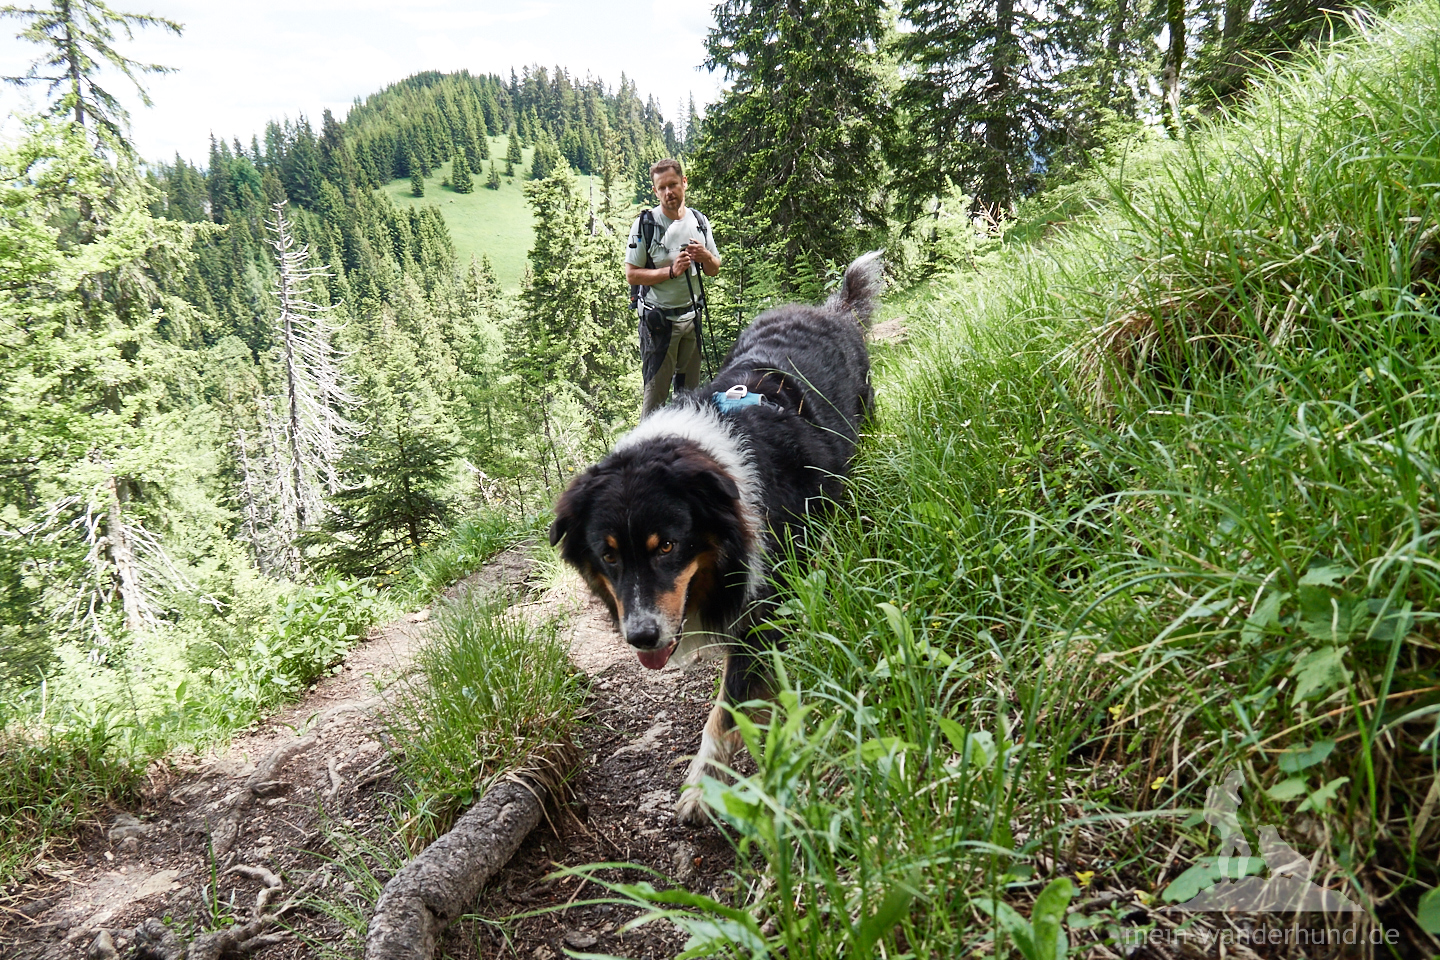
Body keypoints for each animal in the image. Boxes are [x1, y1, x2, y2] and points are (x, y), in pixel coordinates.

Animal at [550, 251, 881, 823]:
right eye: (608, 557)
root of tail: (828, 308)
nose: (641, 637)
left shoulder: (764, 600)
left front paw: (704, 787)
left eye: (667, 546)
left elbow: (727, 709)